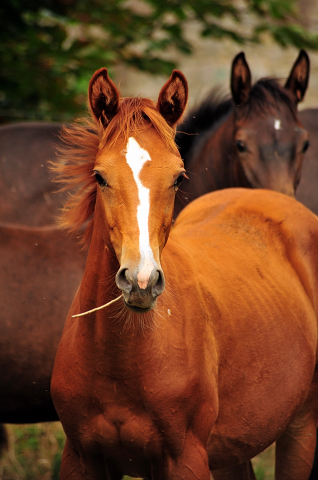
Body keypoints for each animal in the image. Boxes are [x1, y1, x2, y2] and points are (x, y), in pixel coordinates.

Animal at [50, 66, 318, 480]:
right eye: (99, 176)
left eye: (178, 177)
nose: (141, 281)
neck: (120, 359)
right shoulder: (81, 458)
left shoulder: (185, 460)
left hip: (302, 429)